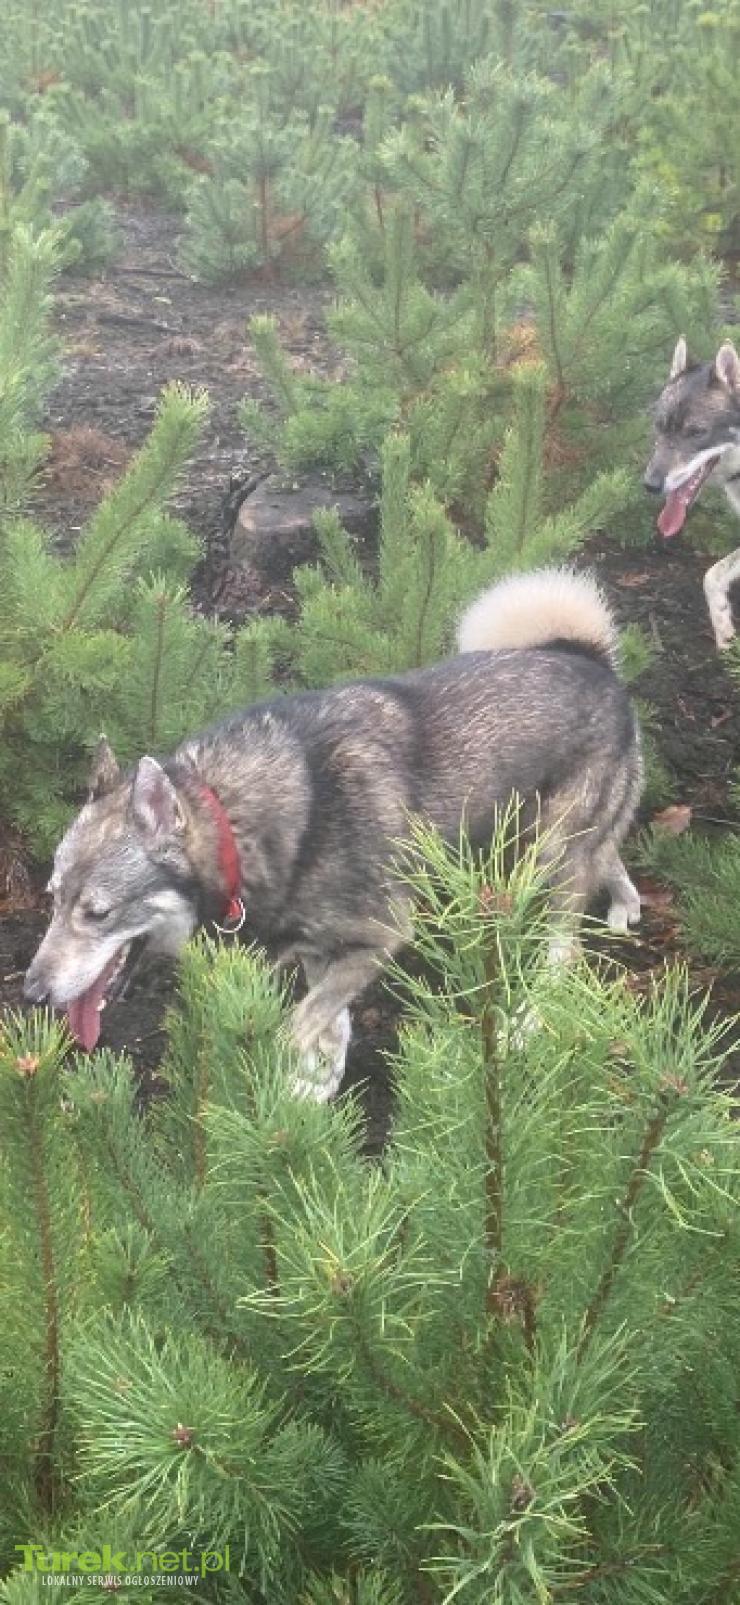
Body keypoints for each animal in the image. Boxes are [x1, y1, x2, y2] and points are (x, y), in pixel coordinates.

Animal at [24, 566, 642, 1101]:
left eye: (97, 913)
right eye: (52, 901)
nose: (31, 992)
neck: (238, 825)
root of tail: (589, 658)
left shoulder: (380, 936)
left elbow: (300, 1023)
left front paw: (296, 1087)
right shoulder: (325, 952)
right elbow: (332, 1022)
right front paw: (316, 1091)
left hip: (551, 855)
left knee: (563, 947)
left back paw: (525, 1023)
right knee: (606, 856)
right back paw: (625, 904)